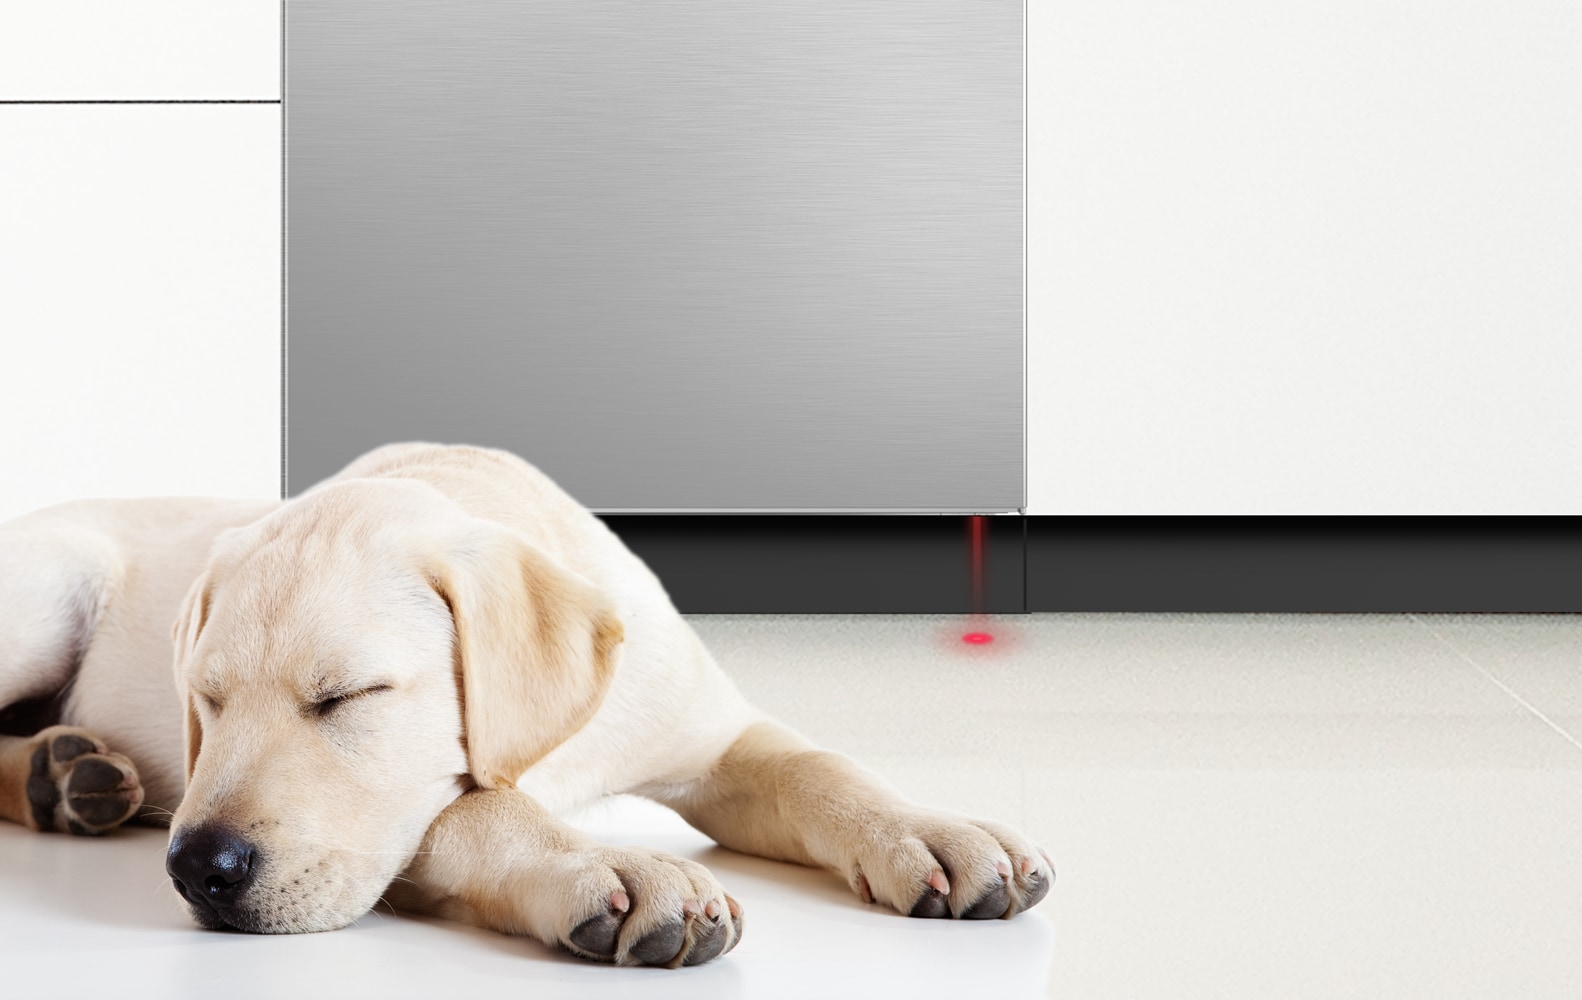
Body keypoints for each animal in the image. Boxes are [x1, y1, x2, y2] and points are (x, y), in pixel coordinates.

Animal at [0, 439, 1050, 962]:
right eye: (206, 700)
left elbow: (817, 766)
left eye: (347, 697)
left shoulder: (713, 738)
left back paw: (71, 773)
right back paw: (63, 776)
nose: (198, 870)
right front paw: (608, 868)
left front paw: (933, 832)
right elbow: (478, 807)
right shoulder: (409, 827)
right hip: (47, 596)